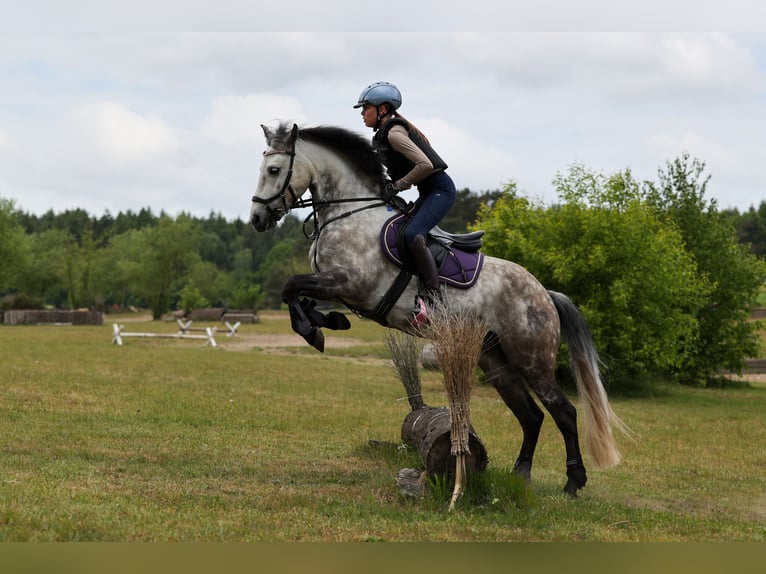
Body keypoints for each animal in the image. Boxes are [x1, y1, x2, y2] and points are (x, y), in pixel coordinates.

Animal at [249, 122, 625, 496]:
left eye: (274, 169)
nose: (256, 219)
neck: (349, 213)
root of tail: (544, 293)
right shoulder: (333, 285)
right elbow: (295, 294)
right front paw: (326, 323)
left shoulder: (349, 284)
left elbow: (291, 286)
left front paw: (315, 331)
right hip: (495, 360)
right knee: (531, 415)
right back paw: (521, 473)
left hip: (531, 358)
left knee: (564, 412)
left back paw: (573, 482)